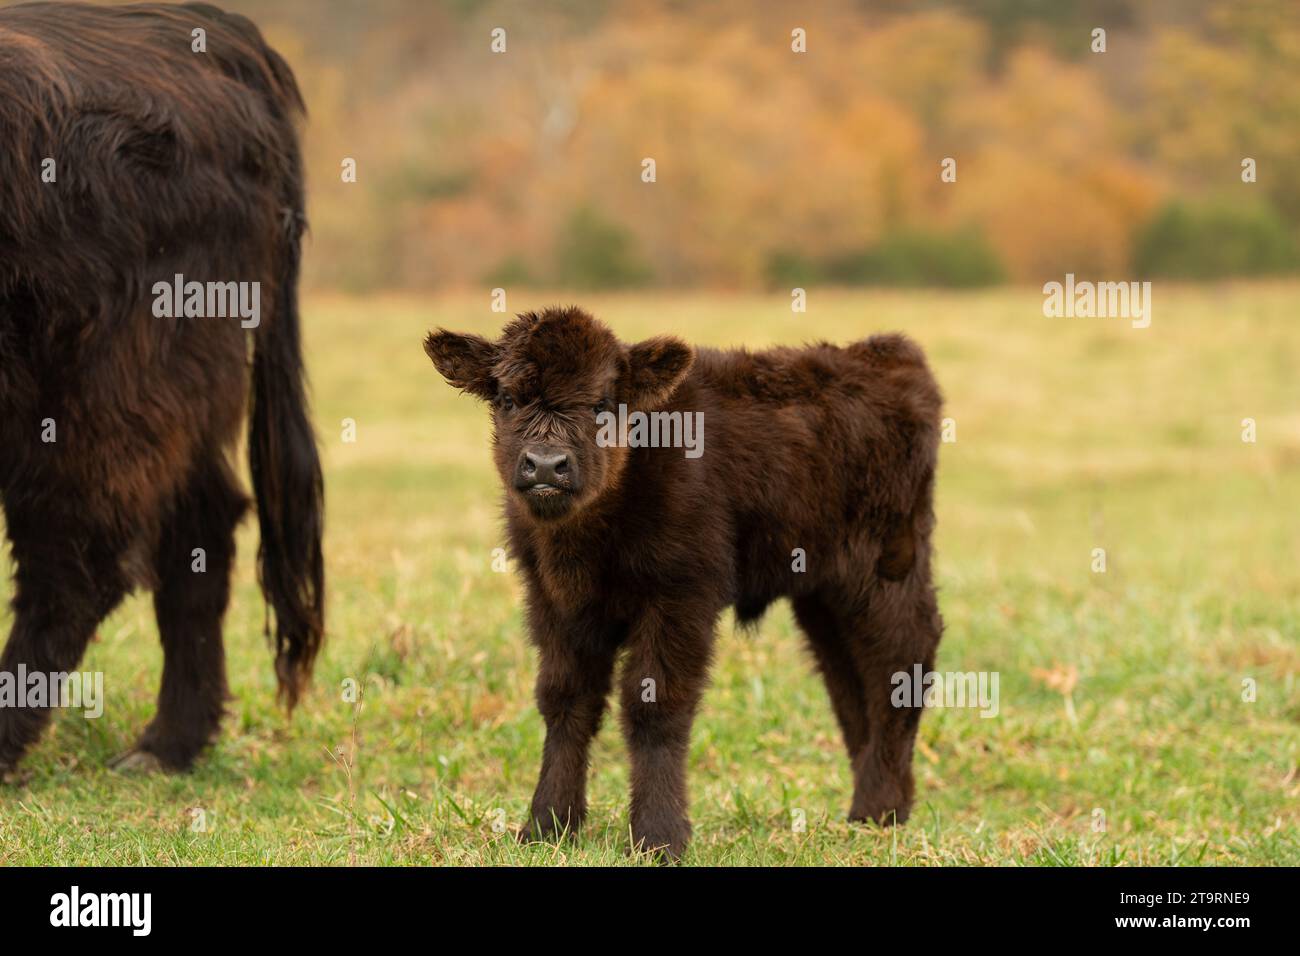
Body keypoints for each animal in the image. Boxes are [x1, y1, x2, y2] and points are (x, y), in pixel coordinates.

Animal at [428, 306, 946, 858]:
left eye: (603, 403)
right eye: (506, 398)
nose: (546, 465)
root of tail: (885, 355)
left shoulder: (680, 597)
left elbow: (655, 705)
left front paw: (659, 836)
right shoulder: (554, 603)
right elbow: (565, 699)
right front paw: (548, 825)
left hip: (888, 572)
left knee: (899, 662)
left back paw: (878, 808)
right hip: (823, 591)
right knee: (846, 674)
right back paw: (876, 806)